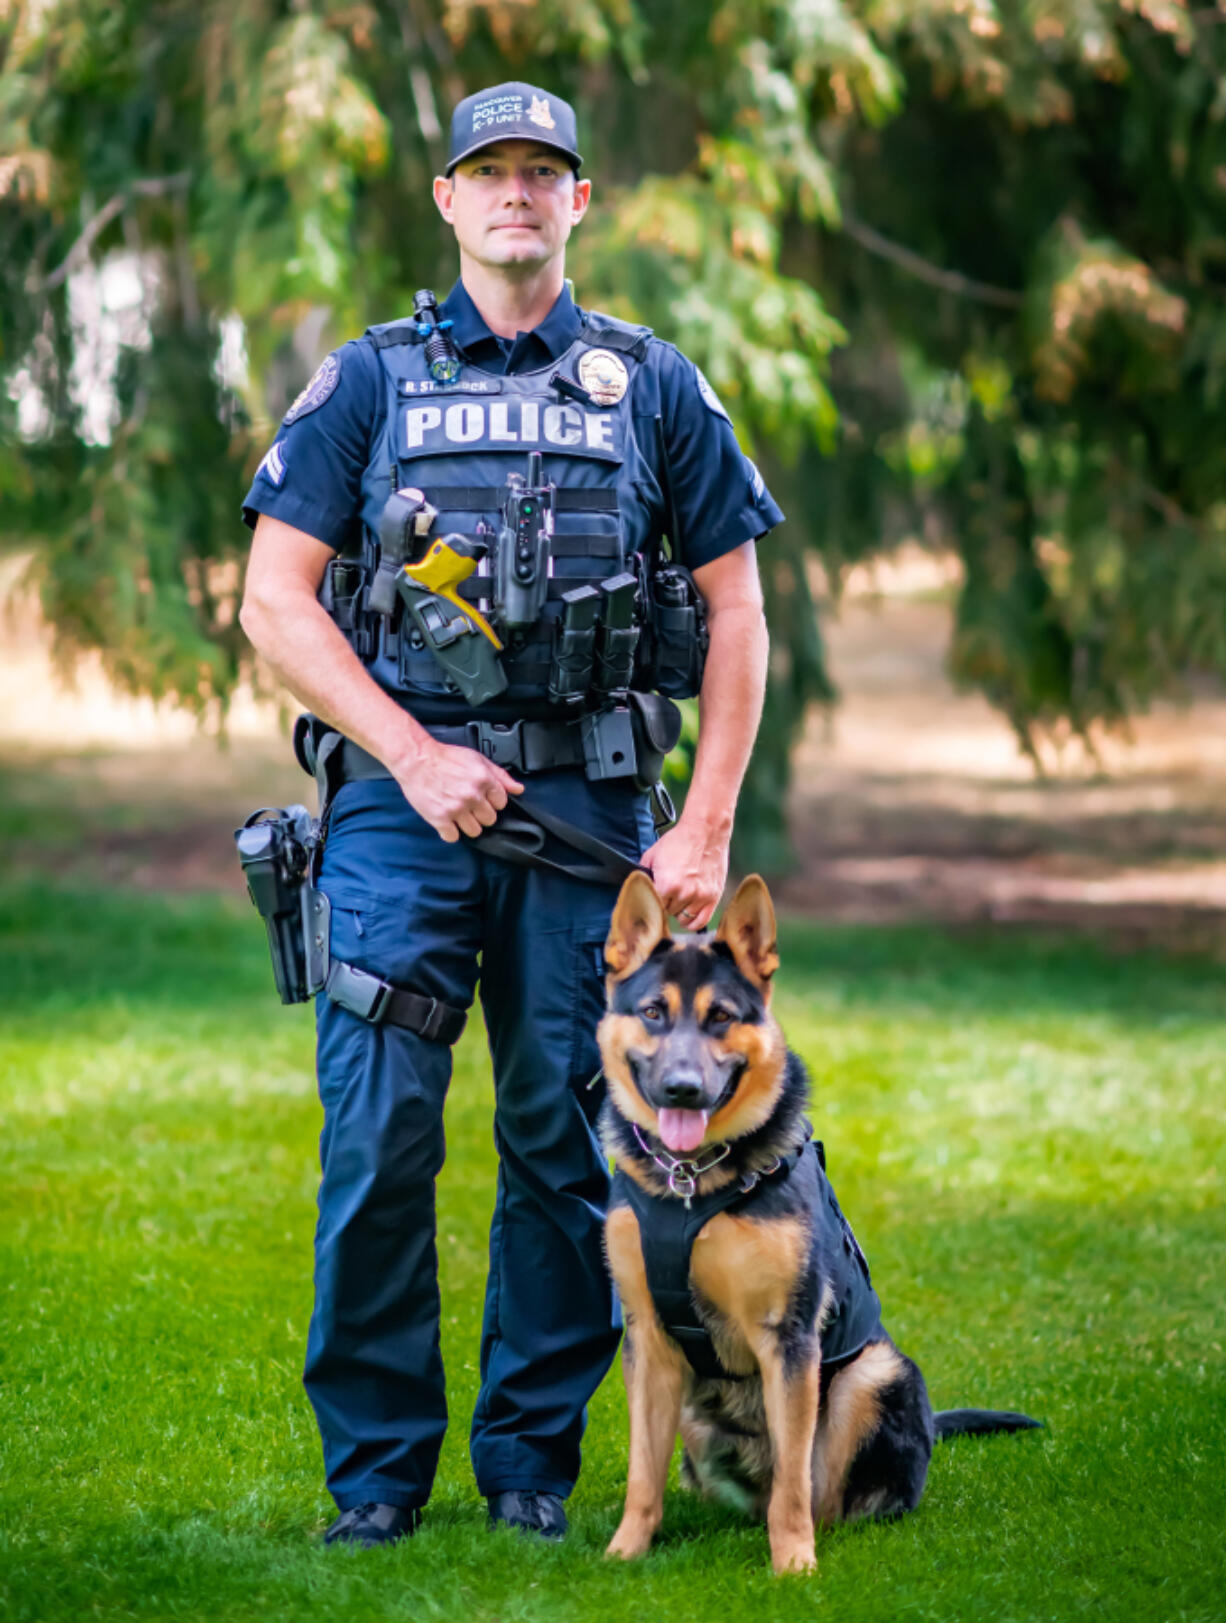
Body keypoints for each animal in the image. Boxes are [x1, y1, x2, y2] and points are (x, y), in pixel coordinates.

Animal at [594, 876, 1032, 1571]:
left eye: (721, 1017)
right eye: (654, 1013)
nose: (682, 1090)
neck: (693, 1183)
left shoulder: (789, 1339)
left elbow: (795, 1484)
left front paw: (795, 1567)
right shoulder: (651, 1345)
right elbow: (643, 1474)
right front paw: (625, 1554)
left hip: (872, 1375)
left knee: (824, 1495)